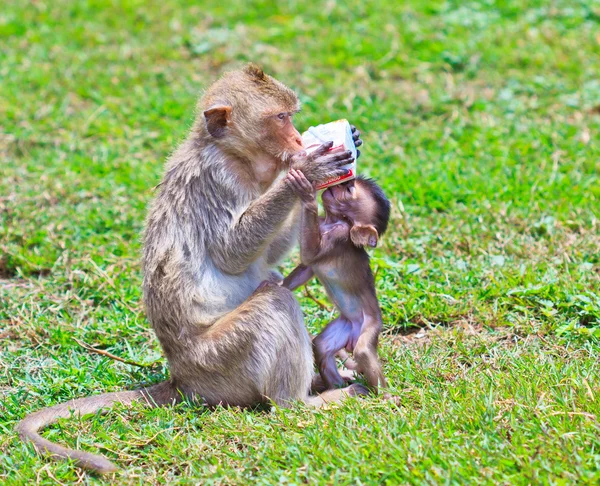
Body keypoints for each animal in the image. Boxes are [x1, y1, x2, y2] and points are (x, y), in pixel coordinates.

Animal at [16, 65, 366, 474]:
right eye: (281, 117)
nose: (297, 138)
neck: (234, 156)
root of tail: (181, 378)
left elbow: (267, 256)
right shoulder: (218, 179)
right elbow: (232, 253)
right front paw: (307, 171)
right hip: (218, 361)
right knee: (274, 303)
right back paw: (302, 403)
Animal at [282, 168, 392, 394]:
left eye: (349, 189)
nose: (339, 183)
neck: (331, 222)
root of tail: (354, 332)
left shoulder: (339, 236)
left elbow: (310, 255)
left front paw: (307, 194)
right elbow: (307, 267)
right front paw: (273, 287)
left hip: (370, 325)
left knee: (363, 351)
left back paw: (385, 395)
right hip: (345, 326)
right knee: (322, 346)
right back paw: (336, 385)